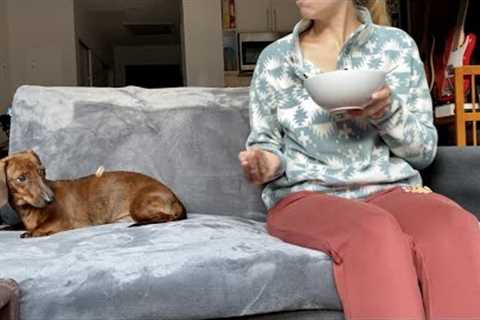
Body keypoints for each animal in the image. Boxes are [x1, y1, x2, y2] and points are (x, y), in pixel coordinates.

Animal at [0, 150, 187, 238]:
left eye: (42, 171)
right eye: (21, 178)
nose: (50, 199)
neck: (28, 211)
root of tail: (176, 199)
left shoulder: (64, 220)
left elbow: (42, 227)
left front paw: (32, 232)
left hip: (139, 207)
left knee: (166, 218)